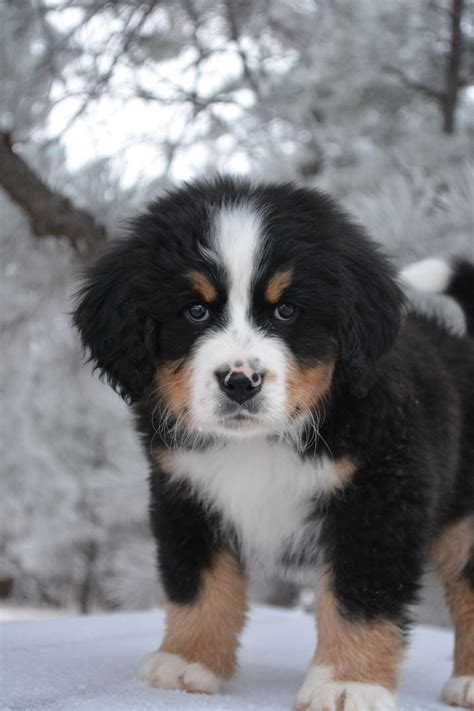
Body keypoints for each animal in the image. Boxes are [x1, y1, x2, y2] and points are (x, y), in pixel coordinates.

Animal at [74, 175, 474, 708]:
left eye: (286, 310)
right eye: (195, 310)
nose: (240, 381)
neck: (259, 442)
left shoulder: (380, 495)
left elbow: (360, 594)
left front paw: (348, 682)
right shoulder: (185, 493)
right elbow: (198, 582)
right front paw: (188, 661)